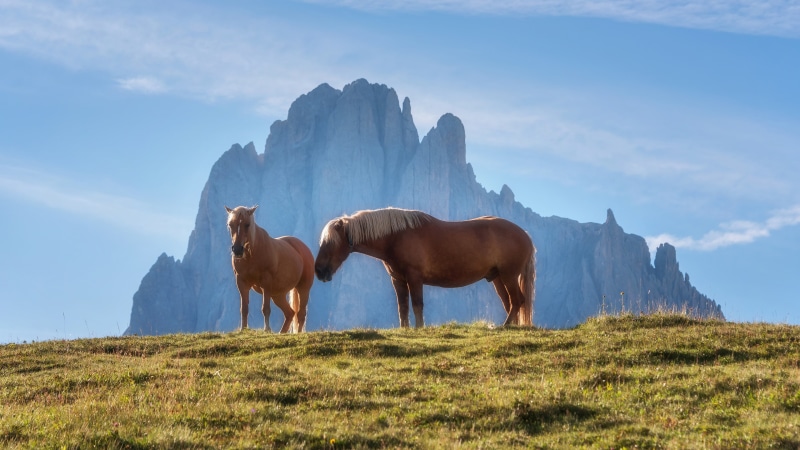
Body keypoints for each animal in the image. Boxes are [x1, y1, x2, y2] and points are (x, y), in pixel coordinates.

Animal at [314, 207, 535, 328]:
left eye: (330, 243)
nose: (319, 271)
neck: (396, 236)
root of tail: (525, 234)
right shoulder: (398, 279)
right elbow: (403, 307)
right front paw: (405, 329)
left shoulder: (414, 277)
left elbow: (417, 305)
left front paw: (419, 328)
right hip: (498, 278)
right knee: (510, 303)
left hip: (508, 275)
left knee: (517, 301)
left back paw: (504, 326)